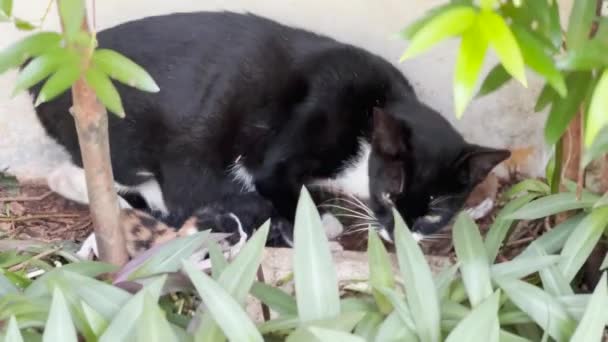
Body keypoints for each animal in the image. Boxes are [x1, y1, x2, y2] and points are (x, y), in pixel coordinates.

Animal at [30, 10, 510, 246]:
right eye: (391, 194)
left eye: (433, 212)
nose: (398, 233)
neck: (374, 112)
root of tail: (46, 73)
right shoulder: (289, 148)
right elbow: (282, 189)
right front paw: (319, 227)